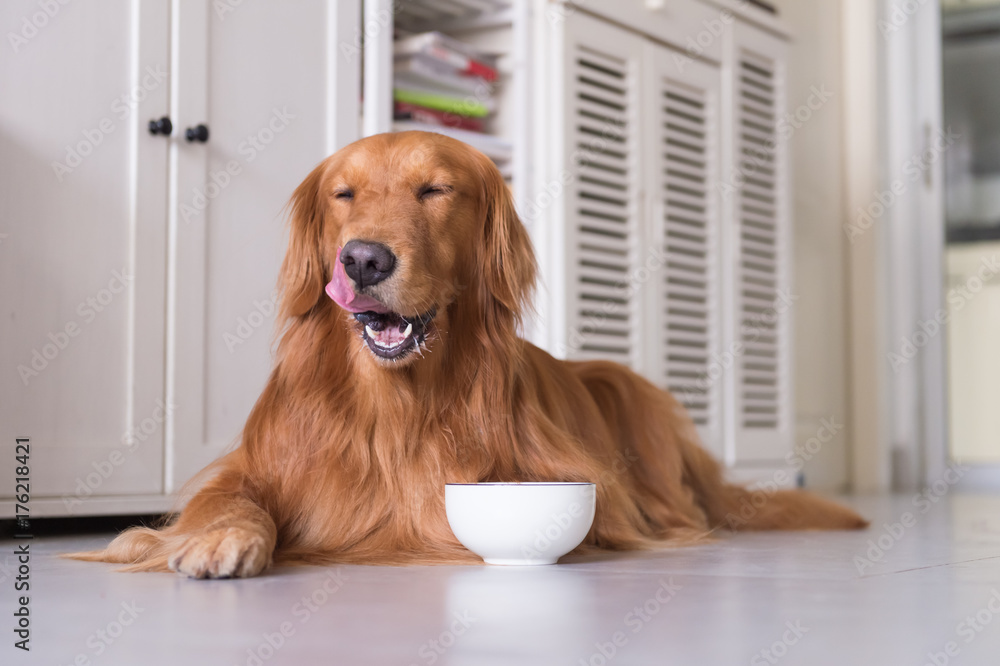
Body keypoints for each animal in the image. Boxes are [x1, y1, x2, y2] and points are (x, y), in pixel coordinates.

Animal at [72, 131, 868, 576]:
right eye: (343, 194)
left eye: (434, 189)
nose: (363, 260)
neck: (394, 403)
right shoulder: (249, 464)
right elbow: (227, 502)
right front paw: (221, 540)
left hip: (625, 385)